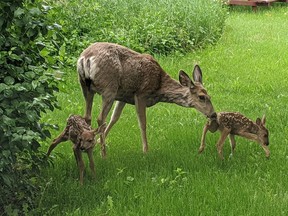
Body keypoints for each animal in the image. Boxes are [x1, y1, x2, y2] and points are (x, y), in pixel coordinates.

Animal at [77, 42, 216, 157]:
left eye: (210, 96)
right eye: (201, 97)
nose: (213, 114)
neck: (159, 86)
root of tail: (85, 58)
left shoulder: (123, 96)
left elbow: (114, 118)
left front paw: (98, 141)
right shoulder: (141, 94)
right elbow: (142, 123)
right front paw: (145, 150)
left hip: (86, 87)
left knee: (88, 116)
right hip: (109, 87)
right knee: (100, 118)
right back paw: (103, 153)